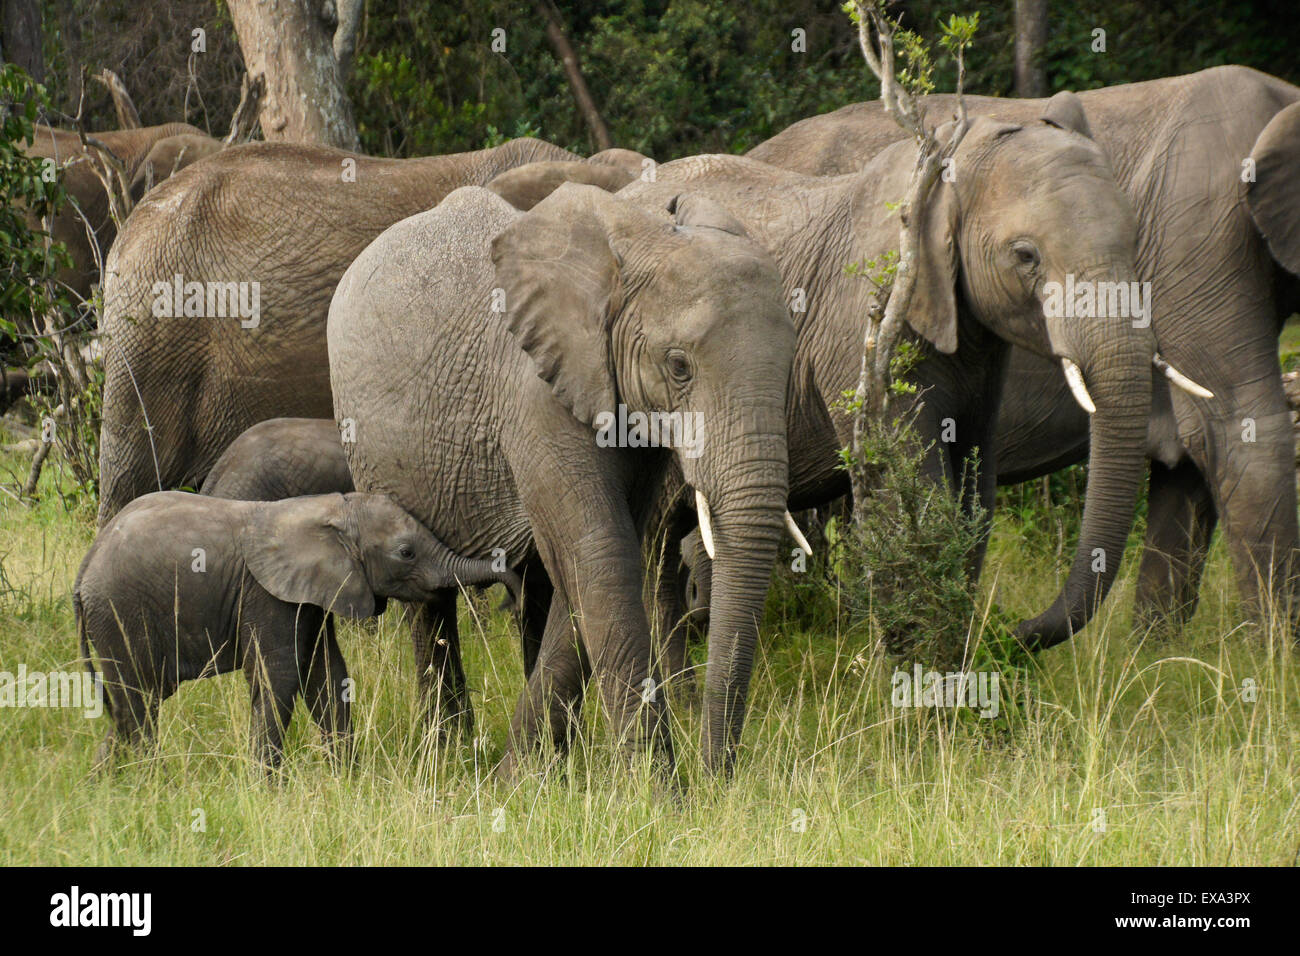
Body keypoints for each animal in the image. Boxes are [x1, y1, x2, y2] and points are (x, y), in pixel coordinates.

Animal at [76, 494, 520, 770]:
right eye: (406, 552)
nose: (512, 598)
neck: (326, 509)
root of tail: (86, 565)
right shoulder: (267, 595)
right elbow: (280, 677)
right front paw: (268, 788)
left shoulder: (312, 594)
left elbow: (328, 676)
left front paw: (345, 778)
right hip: (120, 613)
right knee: (139, 702)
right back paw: (154, 782)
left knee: (132, 705)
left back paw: (106, 784)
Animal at [330, 183, 795, 775]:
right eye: (679, 366)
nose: (719, 779)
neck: (634, 246)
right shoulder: (538, 398)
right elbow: (600, 554)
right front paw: (660, 791)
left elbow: (584, 571)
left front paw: (527, 774)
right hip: (368, 443)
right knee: (426, 601)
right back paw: (449, 750)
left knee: (534, 587)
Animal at [748, 67, 1300, 634]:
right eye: (1025, 256)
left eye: (1135, 243)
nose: (1010, 629)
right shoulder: (1202, 236)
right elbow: (1241, 432)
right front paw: (1272, 651)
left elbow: (1187, 462)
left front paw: (1157, 648)